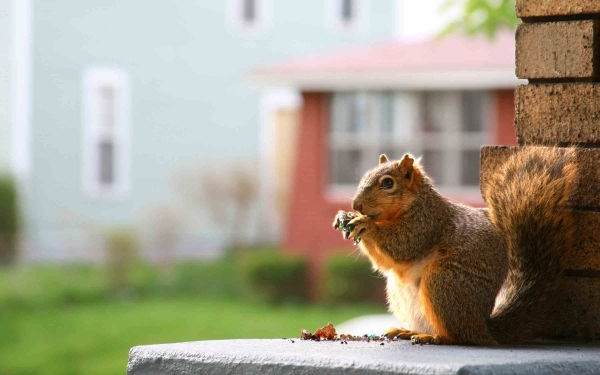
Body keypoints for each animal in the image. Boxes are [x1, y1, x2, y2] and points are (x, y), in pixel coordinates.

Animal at [332, 147, 576, 346]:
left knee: (459, 336)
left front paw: (365, 223)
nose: (356, 204)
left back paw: (434, 337)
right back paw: (407, 330)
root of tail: (482, 327)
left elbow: (402, 246)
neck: (415, 204)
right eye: (364, 176)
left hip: (444, 283)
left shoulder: (426, 224)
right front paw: (344, 217)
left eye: (387, 183)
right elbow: (386, 262)